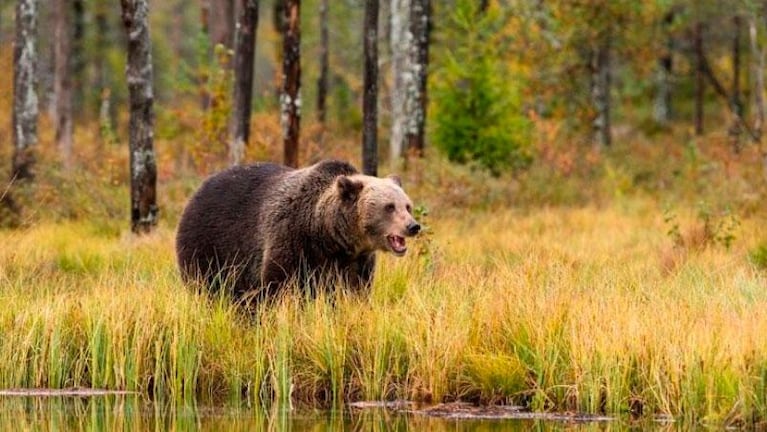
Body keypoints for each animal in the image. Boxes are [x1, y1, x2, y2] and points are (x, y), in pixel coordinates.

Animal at [176, 159, 420, 300]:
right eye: (389, 207)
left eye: (407, 205)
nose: (413, 226)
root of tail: (199, 189)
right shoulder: (292, 239)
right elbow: (277, 284)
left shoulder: (356, 262)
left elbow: (355, 291)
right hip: (209, 243)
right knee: (206, 284)